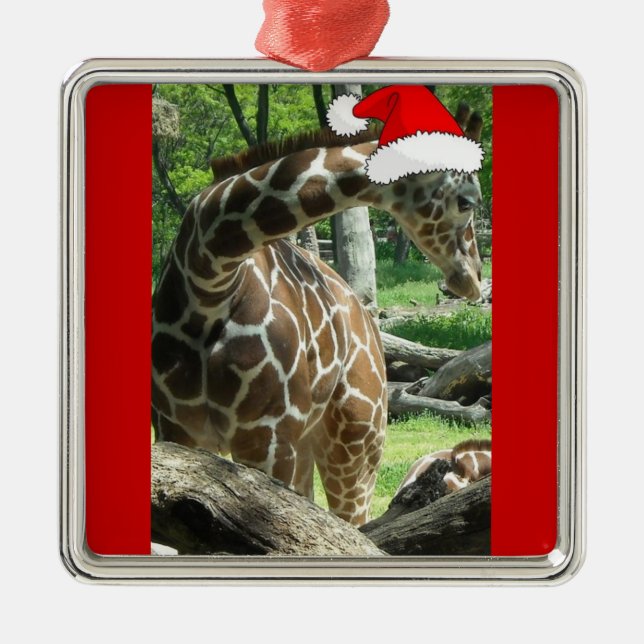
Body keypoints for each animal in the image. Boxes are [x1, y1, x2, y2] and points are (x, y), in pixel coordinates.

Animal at [152, 128, 483, 526]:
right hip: (310, 445)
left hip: (356, 445)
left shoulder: (267, 437)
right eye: (467, 202)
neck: (209, 279)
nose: (475, 278)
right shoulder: (175, 430)